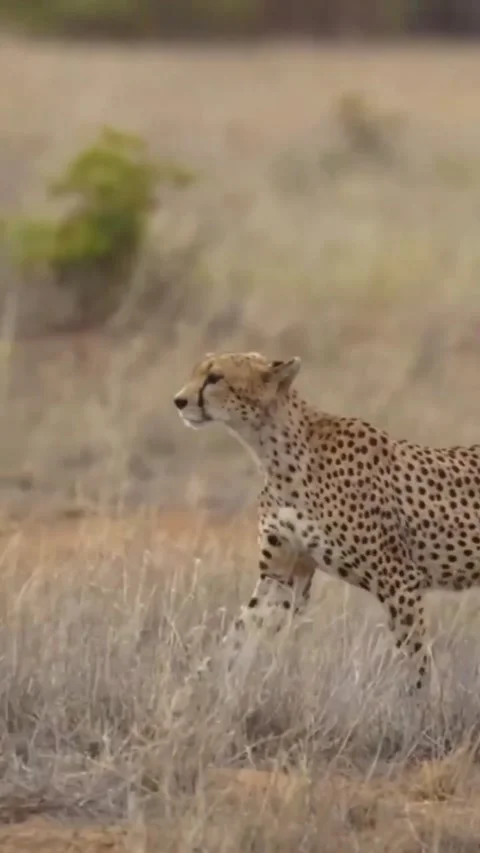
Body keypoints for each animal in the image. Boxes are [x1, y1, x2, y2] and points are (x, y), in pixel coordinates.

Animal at [173, 350, 480, 694]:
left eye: (215, 378)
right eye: (197, 372)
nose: (179, 401)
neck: (275, 453)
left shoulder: (399, 580)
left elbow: (416, 661)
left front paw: (423, 706)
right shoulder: (282, 576)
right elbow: (238, 637)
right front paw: (194, 689)